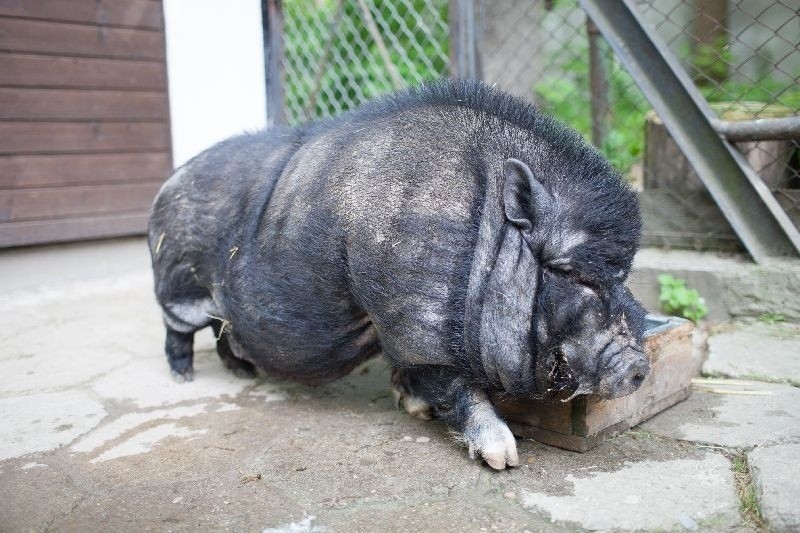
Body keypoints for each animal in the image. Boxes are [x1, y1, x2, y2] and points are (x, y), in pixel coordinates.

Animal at [150, 77, 648, 468]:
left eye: (622, 274)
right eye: (568, 271)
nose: (640, 366)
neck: (483, 237)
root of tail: (168, 180)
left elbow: (407, 375)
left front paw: (415, 410)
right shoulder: (417, 324)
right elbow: (457, 389)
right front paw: (504, 458)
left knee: (223, 330)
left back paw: (243, 374)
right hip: (177, 282)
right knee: (178, 329)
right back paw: (183, 378)